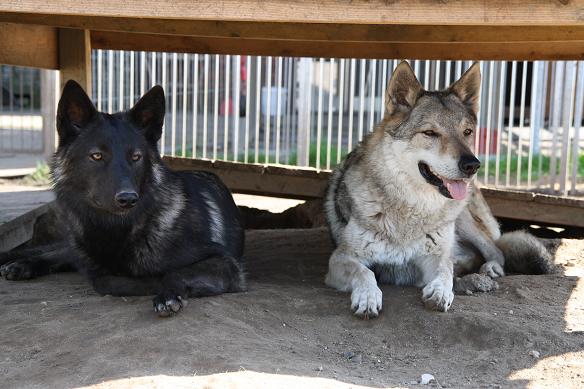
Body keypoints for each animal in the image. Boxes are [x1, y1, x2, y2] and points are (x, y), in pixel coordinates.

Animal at [0, 80, 245, 314]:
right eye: (97, 156)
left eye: (136, 157)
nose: (128, 198)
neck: (118, 229)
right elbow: (104, 280)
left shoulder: (225, 263)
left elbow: (172, 273)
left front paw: (166, 292)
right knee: (60, 253)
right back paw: (21, 264)